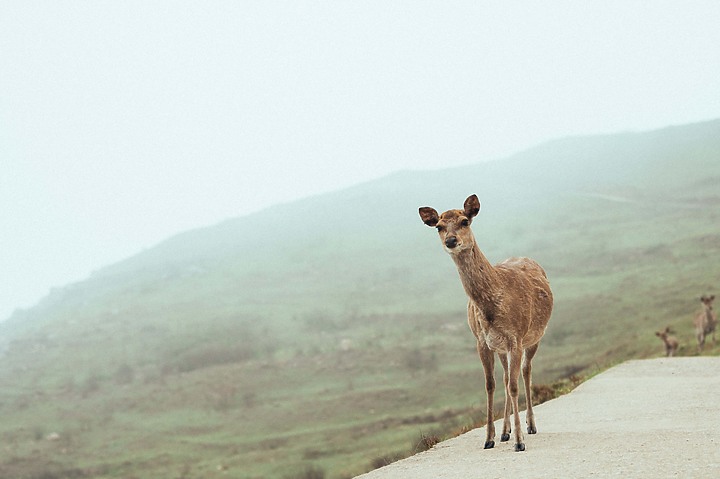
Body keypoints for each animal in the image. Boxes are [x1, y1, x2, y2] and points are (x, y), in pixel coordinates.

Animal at [420, 193, 556, 452]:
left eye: (465, 221)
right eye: (439, 226)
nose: (451, 240)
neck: (491, 307)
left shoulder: (516, 337)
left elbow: (513, 385)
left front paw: (520, 442)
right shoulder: (482, 341)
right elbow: (490, 384)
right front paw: (489, 438)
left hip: (536, 335)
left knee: (525, 371)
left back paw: (531, 425)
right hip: (500, 347)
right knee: (505, 377)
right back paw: (505, 432)